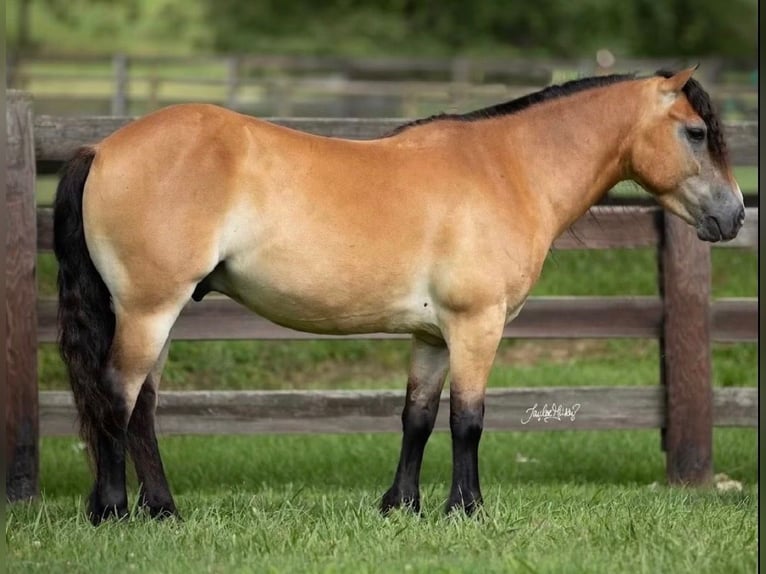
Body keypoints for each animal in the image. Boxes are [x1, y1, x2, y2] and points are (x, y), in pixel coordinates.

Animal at [53, 67, 744, 524]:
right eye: (694, 133)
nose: (734, 215)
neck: (508, 169)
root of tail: (102, 147)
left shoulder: (430, 336)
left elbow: (417, 417)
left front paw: (401, 506)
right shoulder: (476, 325)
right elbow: (468, 420)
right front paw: (466, 509)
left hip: (158, 316)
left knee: (142, 408)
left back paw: (163, 511)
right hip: (149, 310)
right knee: (116, 396)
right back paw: (113, 511)